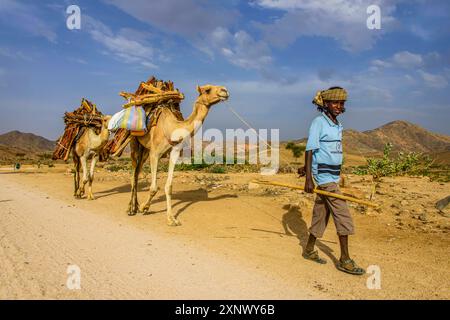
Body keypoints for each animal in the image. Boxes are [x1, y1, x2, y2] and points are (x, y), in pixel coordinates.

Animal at [129, 84, 230, 226]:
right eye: (207, 90)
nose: (224, 90)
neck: (171, 128)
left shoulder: (174, 152)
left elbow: (169, 186)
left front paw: (171, 219)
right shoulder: (155, 153)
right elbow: (154, 187)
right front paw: (144, 207)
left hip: (145, 149)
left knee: (137, 172)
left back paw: (136, 205)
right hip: (134, 141)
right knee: (133, 174)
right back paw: (130, 209)